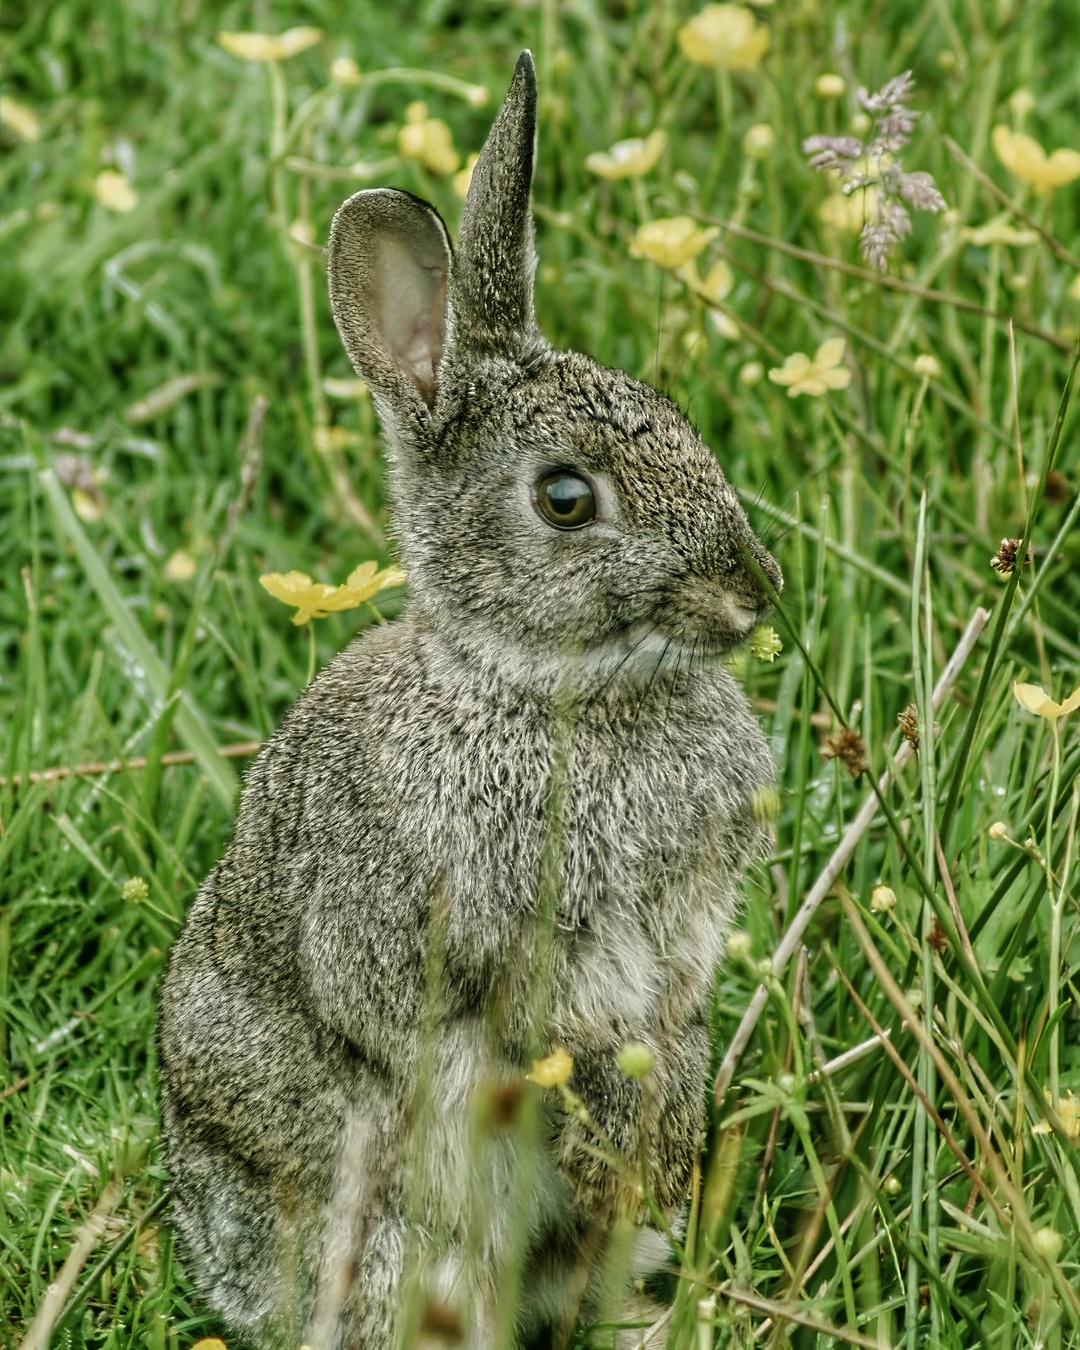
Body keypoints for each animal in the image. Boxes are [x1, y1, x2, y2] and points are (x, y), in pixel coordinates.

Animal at [158, 50, 781, 1350]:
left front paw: (650, 1142)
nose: (756, 596)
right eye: (564, 499)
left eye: (681, 422)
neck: (542, 687)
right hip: (390, 1241)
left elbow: (665, 1041)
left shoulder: (680, 944)